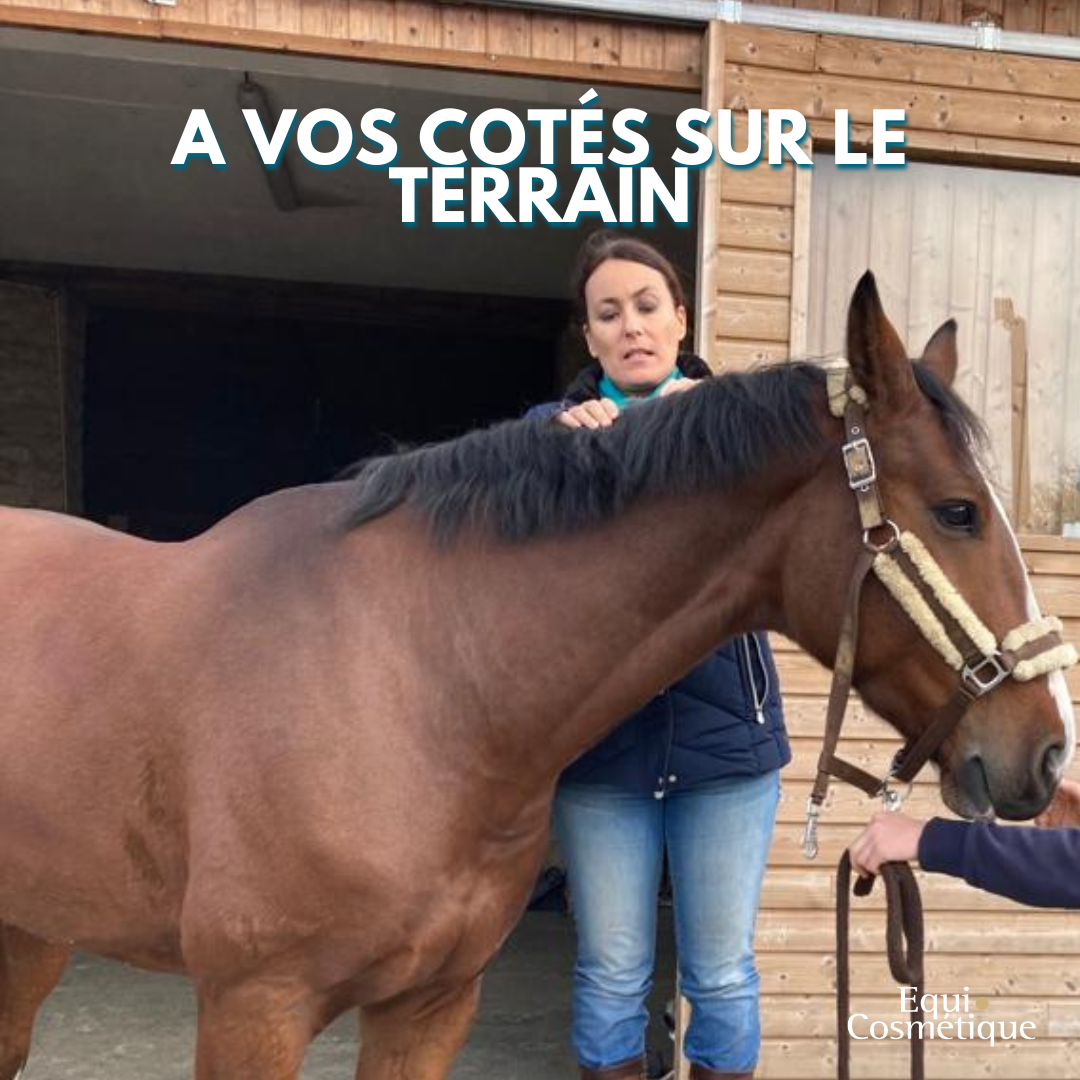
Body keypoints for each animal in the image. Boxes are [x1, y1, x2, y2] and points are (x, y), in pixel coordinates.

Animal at [0, 273, 1074, 1080]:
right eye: (958, 511)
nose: (1047, 754)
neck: (415, 683)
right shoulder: (251, 1009)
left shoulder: (429, 1008)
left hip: (34, 932)